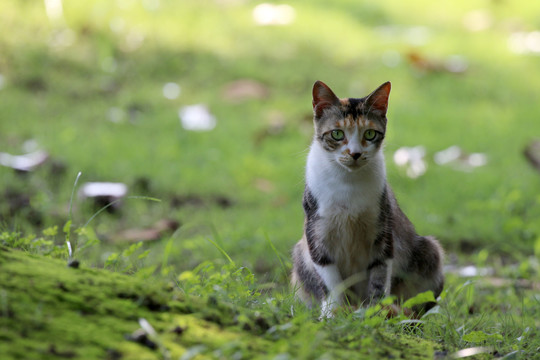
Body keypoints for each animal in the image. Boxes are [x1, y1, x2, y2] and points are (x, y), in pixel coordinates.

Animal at [292, 81, 442, 318]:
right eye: (337, 134)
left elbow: (379, 274)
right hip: (300, 254)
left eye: (370, 134)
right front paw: (333, 312)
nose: (355, 153)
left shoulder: (383, 228)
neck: (348, 184)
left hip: (429, 251)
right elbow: (330, 279)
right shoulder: (316, 231)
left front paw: (375, 310)